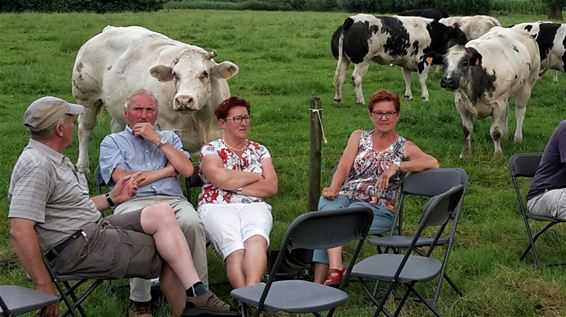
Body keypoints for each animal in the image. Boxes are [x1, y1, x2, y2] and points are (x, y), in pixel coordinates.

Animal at [72, 25, 239, 172]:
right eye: (175, 74)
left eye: (204, 73)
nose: (183, 100)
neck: (201, 121)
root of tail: (109, 29)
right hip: (87, 98)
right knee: (84, 129)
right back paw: (82, 166)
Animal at [330, 13, 468, 102]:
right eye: (462, 37)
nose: (468, 48)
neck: (432, 32)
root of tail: (353, 19)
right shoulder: (423, 60)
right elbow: (423, 80)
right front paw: (425, 97)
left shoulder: (406, 62)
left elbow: (407, 79)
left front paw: (408, 96)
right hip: (362, 61)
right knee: (356, 79)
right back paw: (361, 100)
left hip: (344, 59)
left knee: (339, 77)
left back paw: (338, 98)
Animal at [426, 26, 540, 157]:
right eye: (444, 63)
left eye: (465, 63)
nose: (448, 81)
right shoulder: (461, 104)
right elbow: (467, 130)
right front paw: (465, 153)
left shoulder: (498, 103)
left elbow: (495, 132)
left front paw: (497, 153)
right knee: (507, 112)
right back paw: (506, 135)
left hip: (527, 85)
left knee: (520, 111)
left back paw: (518, 138)